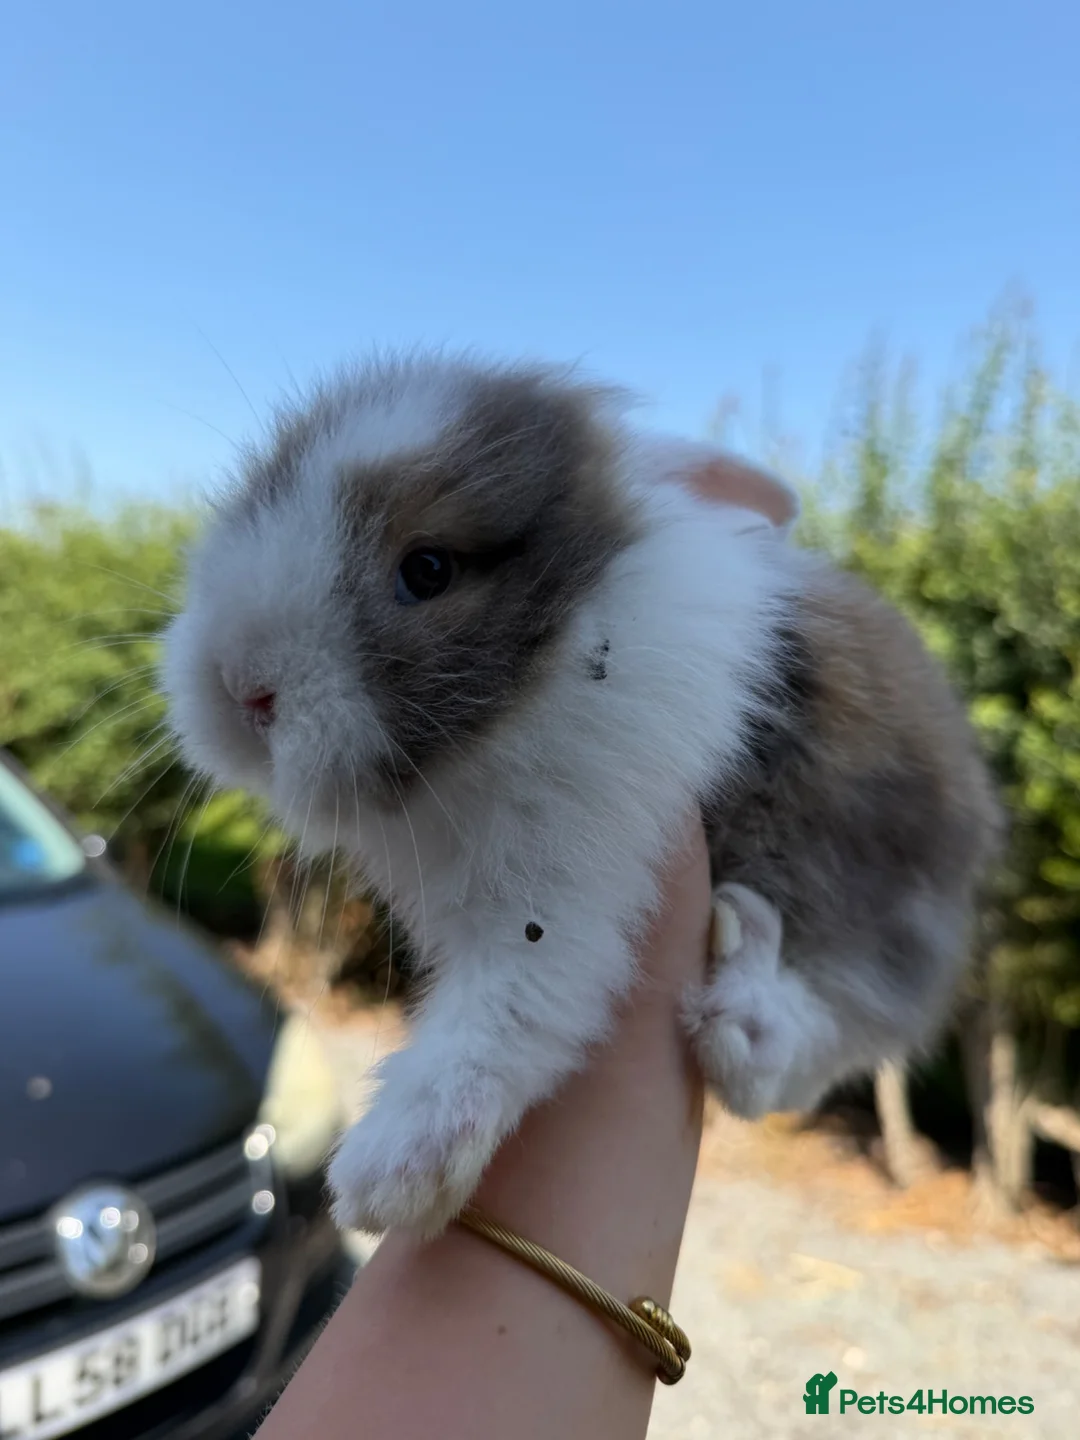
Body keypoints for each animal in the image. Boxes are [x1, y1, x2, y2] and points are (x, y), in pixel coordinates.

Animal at [161, 353, 1002, 1237]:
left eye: (428, 569)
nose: (238, 687)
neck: (557, 651)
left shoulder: (570, 876)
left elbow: (514, 1007)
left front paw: (386, 1174)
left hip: (883, 912)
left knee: (818, 1044)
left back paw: (746, 1007)